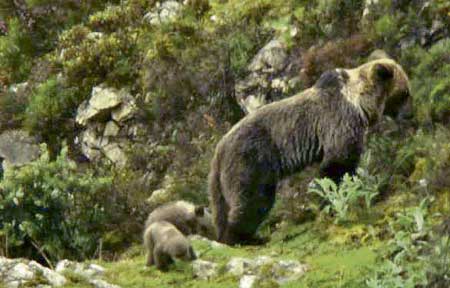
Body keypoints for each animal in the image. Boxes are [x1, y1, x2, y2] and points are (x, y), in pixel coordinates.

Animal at [207, 58, 412, 245]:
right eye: (405, 94)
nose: (409, 114)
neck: (359, 102)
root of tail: (218, 150)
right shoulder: (340, 120)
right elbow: (337, 164)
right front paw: (332, 201)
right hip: (252, 159)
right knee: (253, 198)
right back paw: (242, 238)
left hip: (220, 181)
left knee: (222, 207)